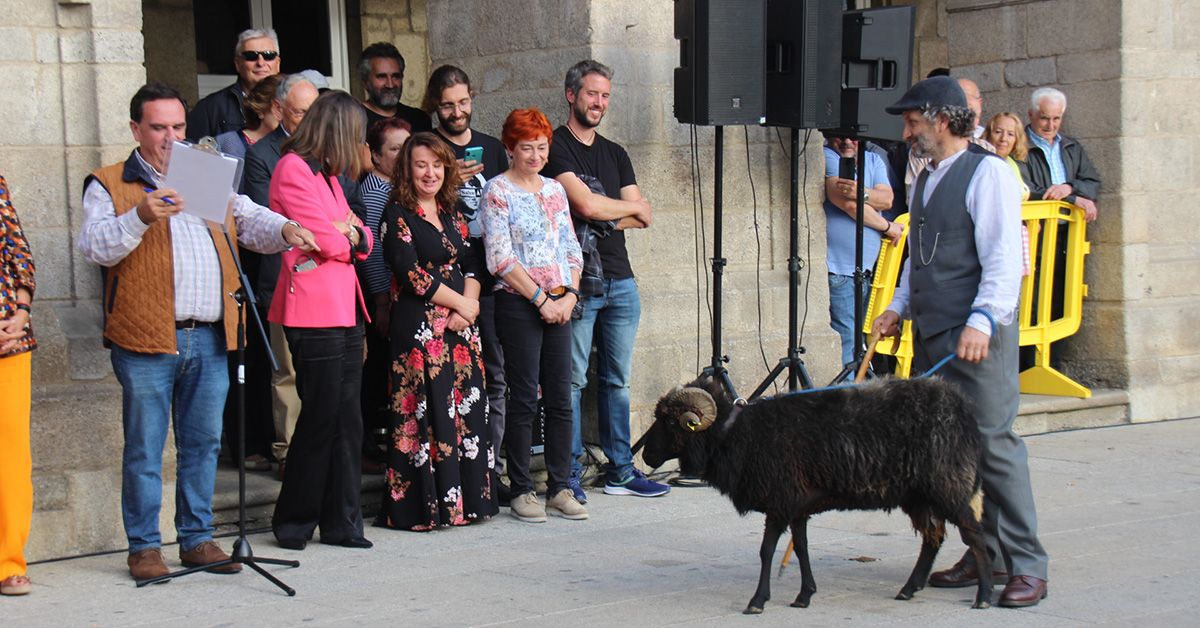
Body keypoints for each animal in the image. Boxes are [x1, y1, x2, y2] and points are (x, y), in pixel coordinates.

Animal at [648, 377, 993, 612]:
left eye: (669, 421)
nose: (647, 456)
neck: (737, 434)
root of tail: (962, 409)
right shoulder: (797, 505)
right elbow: (800, 549)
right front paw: (804, 596)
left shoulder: (780, 501)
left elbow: (767, 551)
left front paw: (757, 601)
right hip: (919, 495)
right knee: (933, 538)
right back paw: (909, 589)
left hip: (949, 486)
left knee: (975, 537)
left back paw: (984, 596)